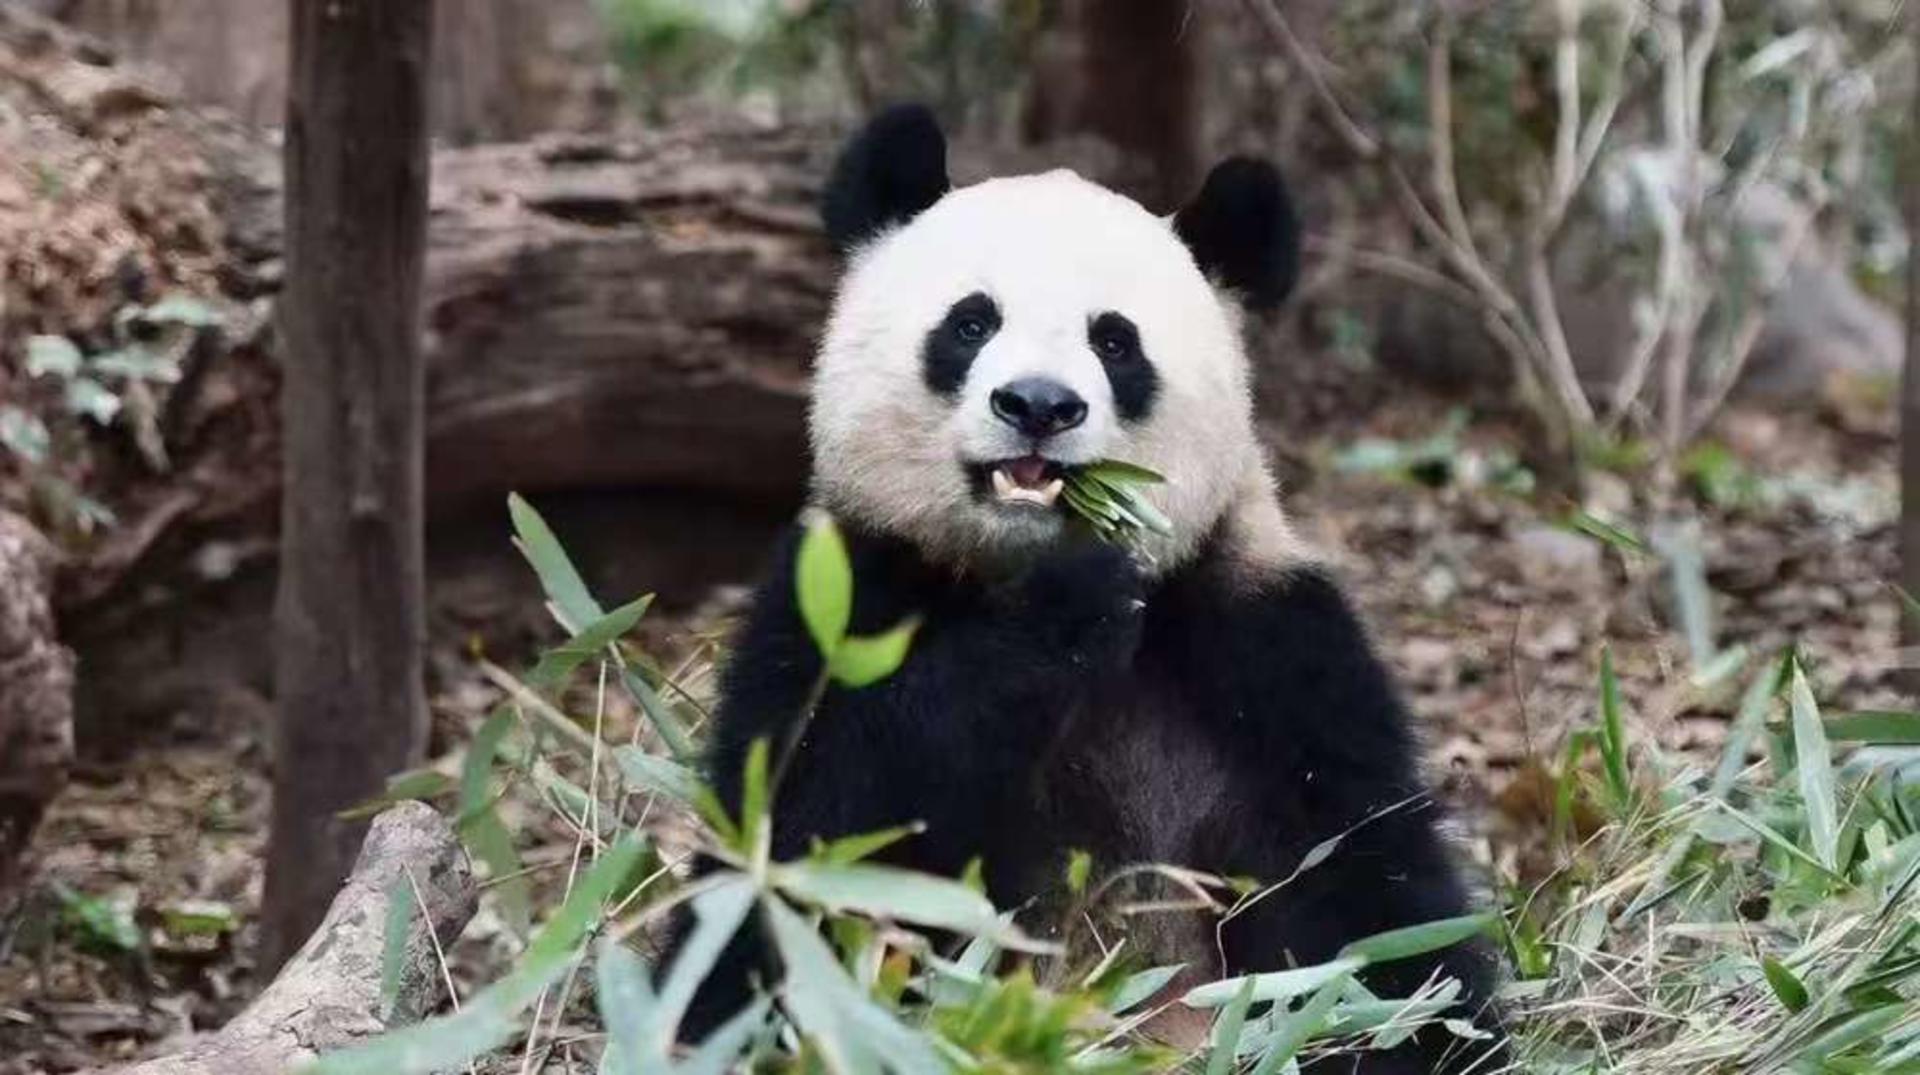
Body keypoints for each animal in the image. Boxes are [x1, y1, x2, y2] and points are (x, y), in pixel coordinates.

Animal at [687, 105, 1503, 1072]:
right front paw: (1059, 616)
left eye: (1114, 341)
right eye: (970, 323)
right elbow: (809, 829)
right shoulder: (839, 600)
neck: (1010, 562)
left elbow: (1368, 897)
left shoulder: (1267, 642)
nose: (1038, 404)